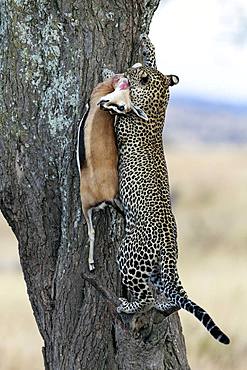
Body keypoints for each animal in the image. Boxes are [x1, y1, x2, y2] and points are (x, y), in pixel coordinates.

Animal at [100, 34, 230, 344]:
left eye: (133, 72)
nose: (127, 69)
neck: (160, 105)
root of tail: (170, 248)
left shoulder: (123, 122)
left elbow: (119, 108)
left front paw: (110, 76)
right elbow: (159, 66)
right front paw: (147, 46)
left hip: (130, 255)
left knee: (145, 295)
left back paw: (128, 304)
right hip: (157, 270)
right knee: (168, 295)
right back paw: (163, 304)